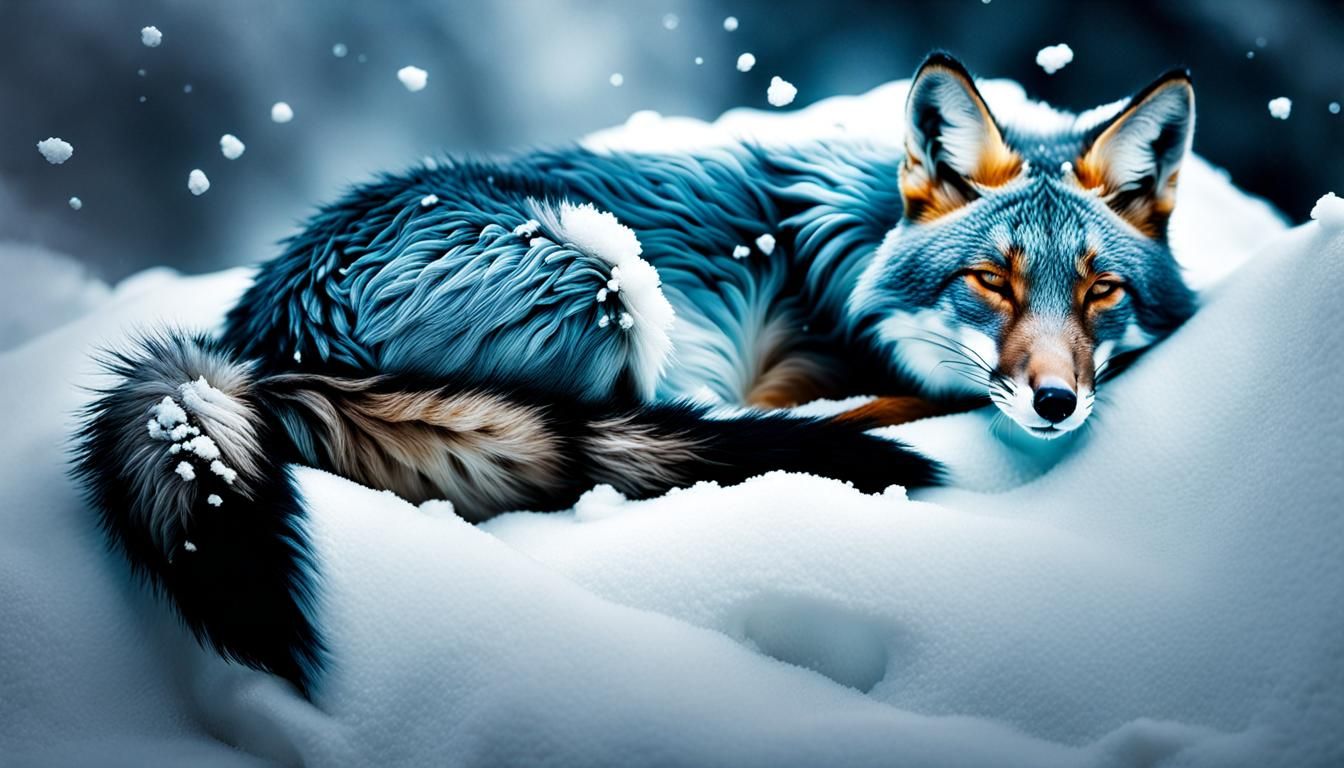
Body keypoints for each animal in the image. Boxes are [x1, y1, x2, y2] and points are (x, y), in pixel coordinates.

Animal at [73, 53, 1197, 694]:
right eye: (989, 284)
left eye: (1099, 292)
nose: (1055, 402)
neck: (854, 249)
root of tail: (257, 336)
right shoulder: (799, 372)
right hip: (607, 274)